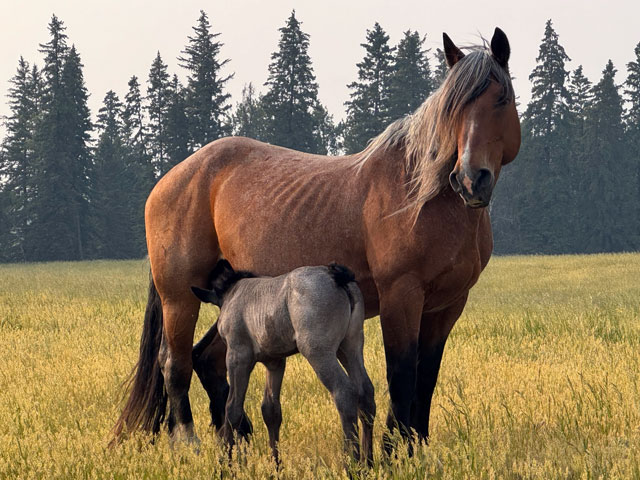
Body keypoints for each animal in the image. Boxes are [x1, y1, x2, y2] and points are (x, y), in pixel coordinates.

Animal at [191, 261, 375, 465]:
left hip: (318, 352)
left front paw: (225, 463)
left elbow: (232, 409)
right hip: (350, 347)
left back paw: (351, 463)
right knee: (365, 392)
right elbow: (271, 410)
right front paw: (276, 465)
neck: (233, 292)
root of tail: (335, 274)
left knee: (344, 392)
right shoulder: (275, 362)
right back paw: (368, 462)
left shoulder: (238, 357)